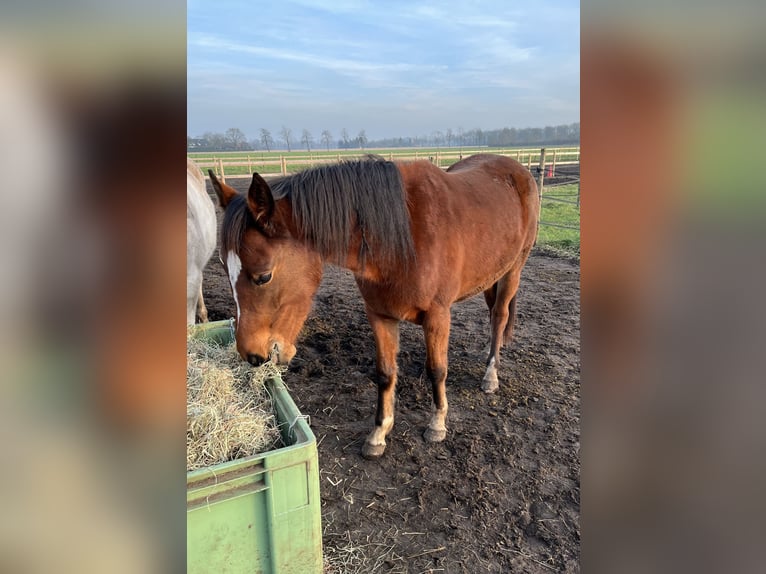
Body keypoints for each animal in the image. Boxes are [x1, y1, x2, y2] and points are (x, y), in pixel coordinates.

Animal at [207, 154, 536, 460]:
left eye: (263, 276)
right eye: (224, 268)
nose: (252, 355)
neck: (404, 238)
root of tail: (515, 168)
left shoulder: (438, 315)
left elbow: (437, 370)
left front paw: (437, 424)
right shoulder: (380, 315)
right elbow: (386, 373)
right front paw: (379, 434)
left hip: (513, 270)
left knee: (499, 317)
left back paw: (491, 374)